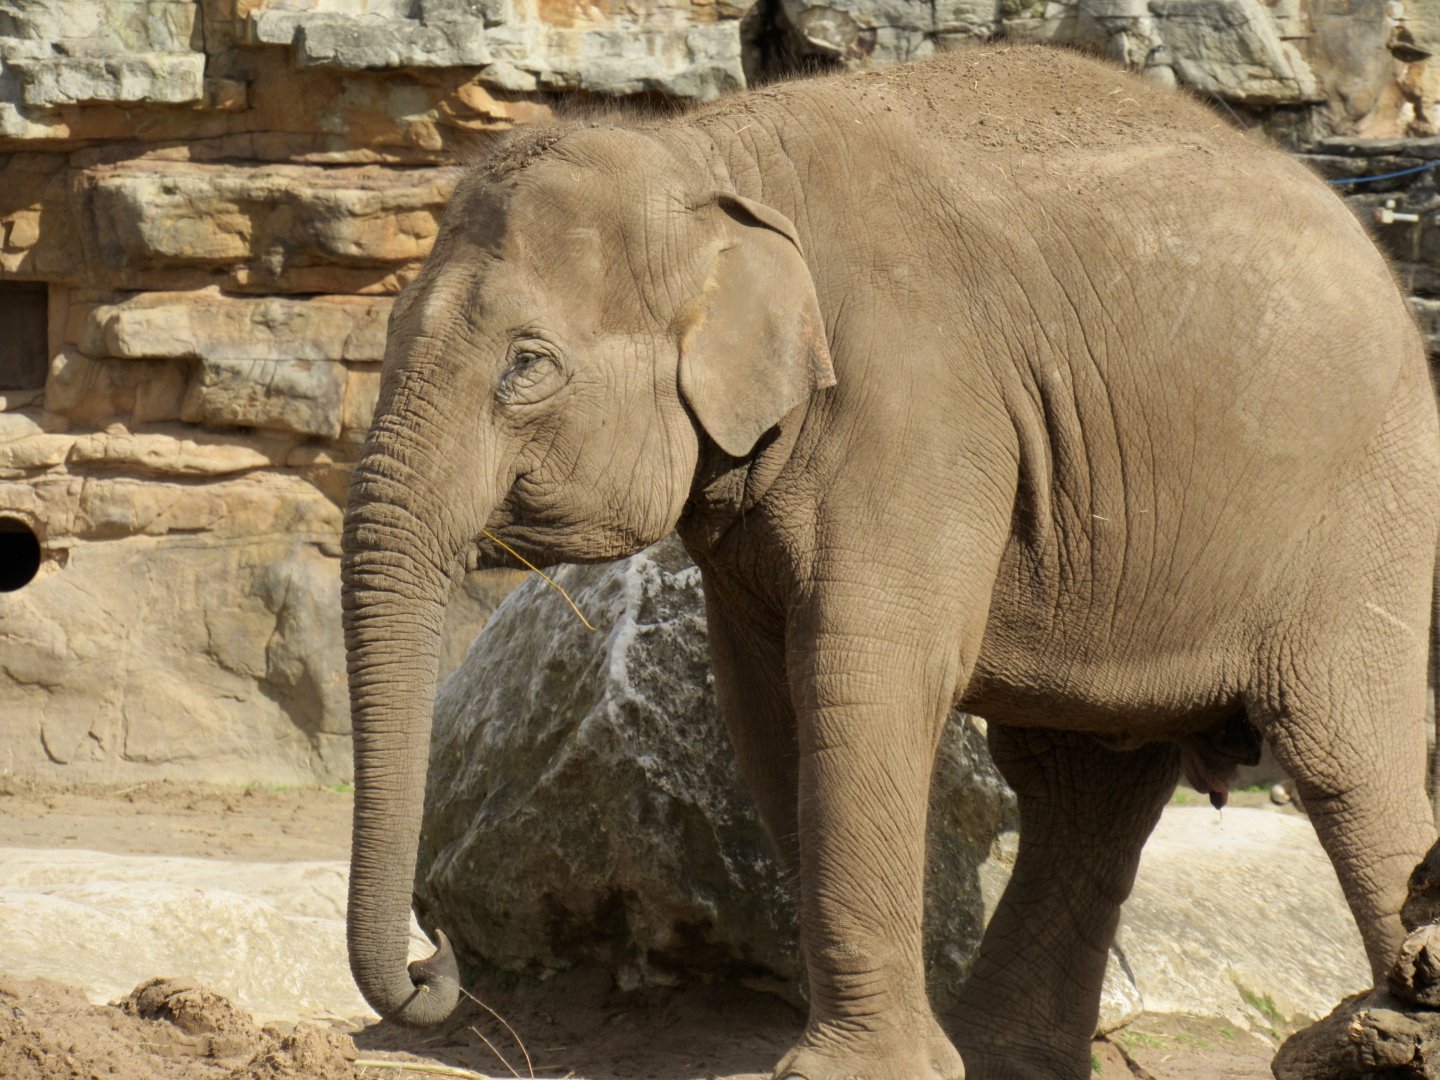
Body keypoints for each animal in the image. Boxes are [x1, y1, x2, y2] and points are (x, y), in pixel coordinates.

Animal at [339, 43, 1440, 1080]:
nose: (436, 955)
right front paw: (904, 1057)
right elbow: (765, 705)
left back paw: (1394, 1020)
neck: (708, 152)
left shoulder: (919, 404)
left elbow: (861, 676)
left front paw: (857, 1070)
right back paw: (1003, 1062)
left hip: (1366, 509)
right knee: (1081, 785)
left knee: (1343, 757)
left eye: (527, 367)